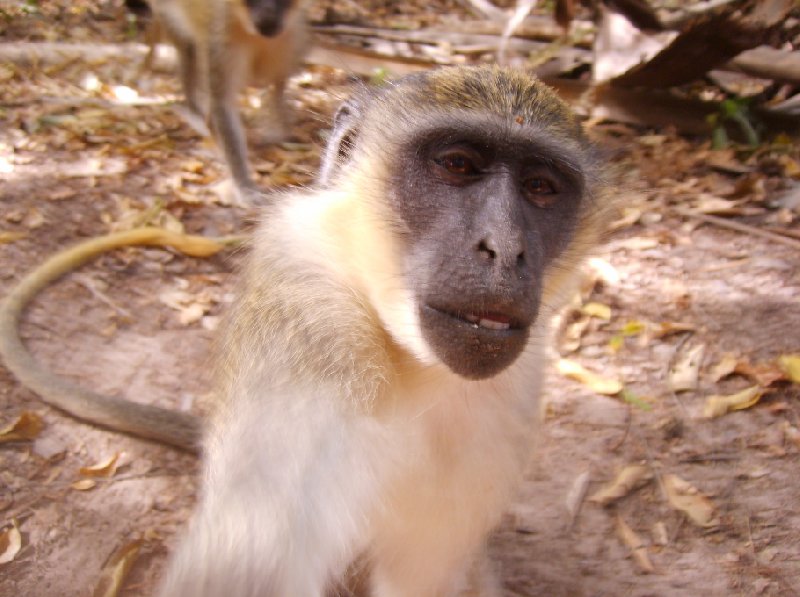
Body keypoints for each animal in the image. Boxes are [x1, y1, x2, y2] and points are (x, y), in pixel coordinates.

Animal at [144, 0, 306, 200]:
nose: (267, 21)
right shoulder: (220, 39)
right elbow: (222, 104)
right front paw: (244, 186)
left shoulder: (290, 35)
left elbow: (278, 83)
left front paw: (277, 128)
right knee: (189, 51)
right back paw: (199, 117)